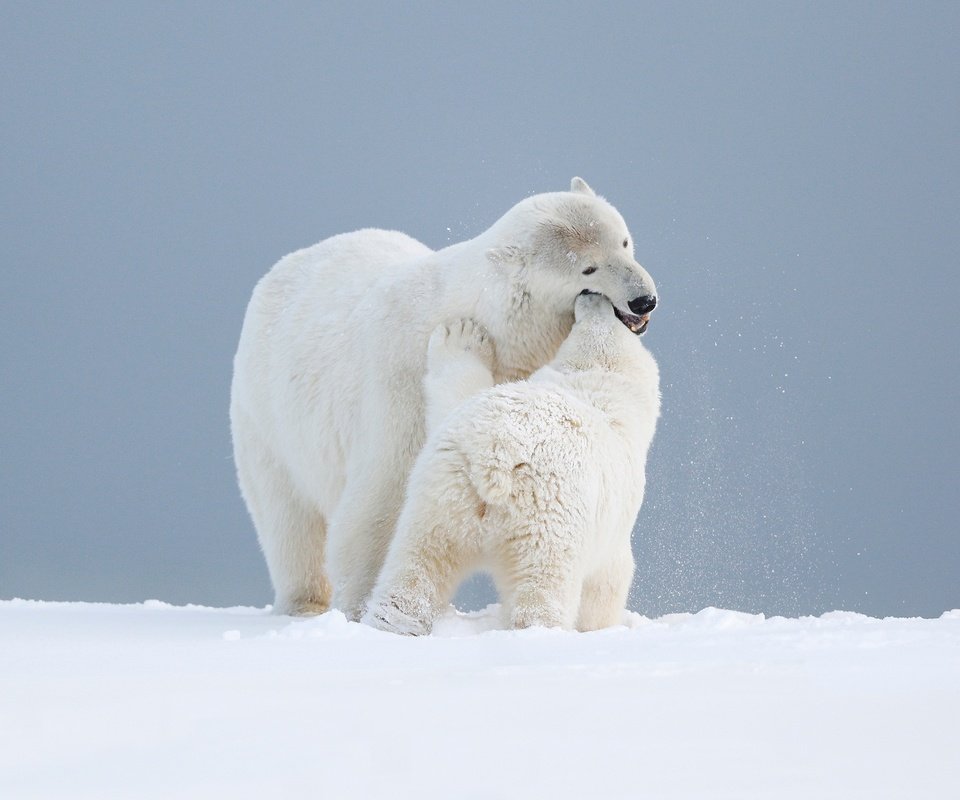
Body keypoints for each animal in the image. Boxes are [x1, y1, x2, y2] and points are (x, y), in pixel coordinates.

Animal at [229, 178, 656, 616]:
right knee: (288, 515)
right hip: (266, 418)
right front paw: (360, 605)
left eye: (624, 242)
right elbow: (381, 499)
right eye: (588, 267)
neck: (495, 323)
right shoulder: (403, 387)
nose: (644, 300)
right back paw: (305, 601)